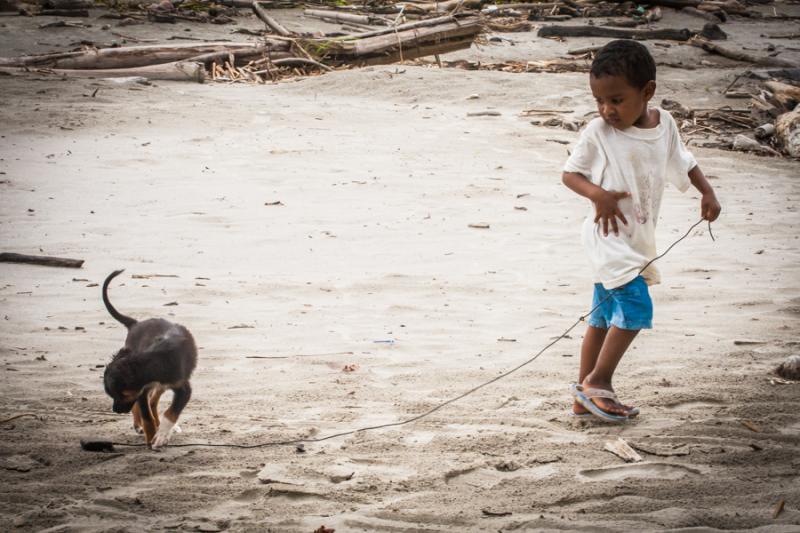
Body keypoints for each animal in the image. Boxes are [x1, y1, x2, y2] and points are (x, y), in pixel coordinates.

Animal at [102, 268, 198, 446]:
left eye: (122, 395)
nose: (116, 410)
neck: (156, 358)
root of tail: (135, 323)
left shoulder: (182, 388)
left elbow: (171, 412)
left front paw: (161, 435)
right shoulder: (141, 391)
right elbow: (146, 415)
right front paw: (151, 435)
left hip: (162, 386)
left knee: (154, 401)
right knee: (144, 405)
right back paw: (139, 426)